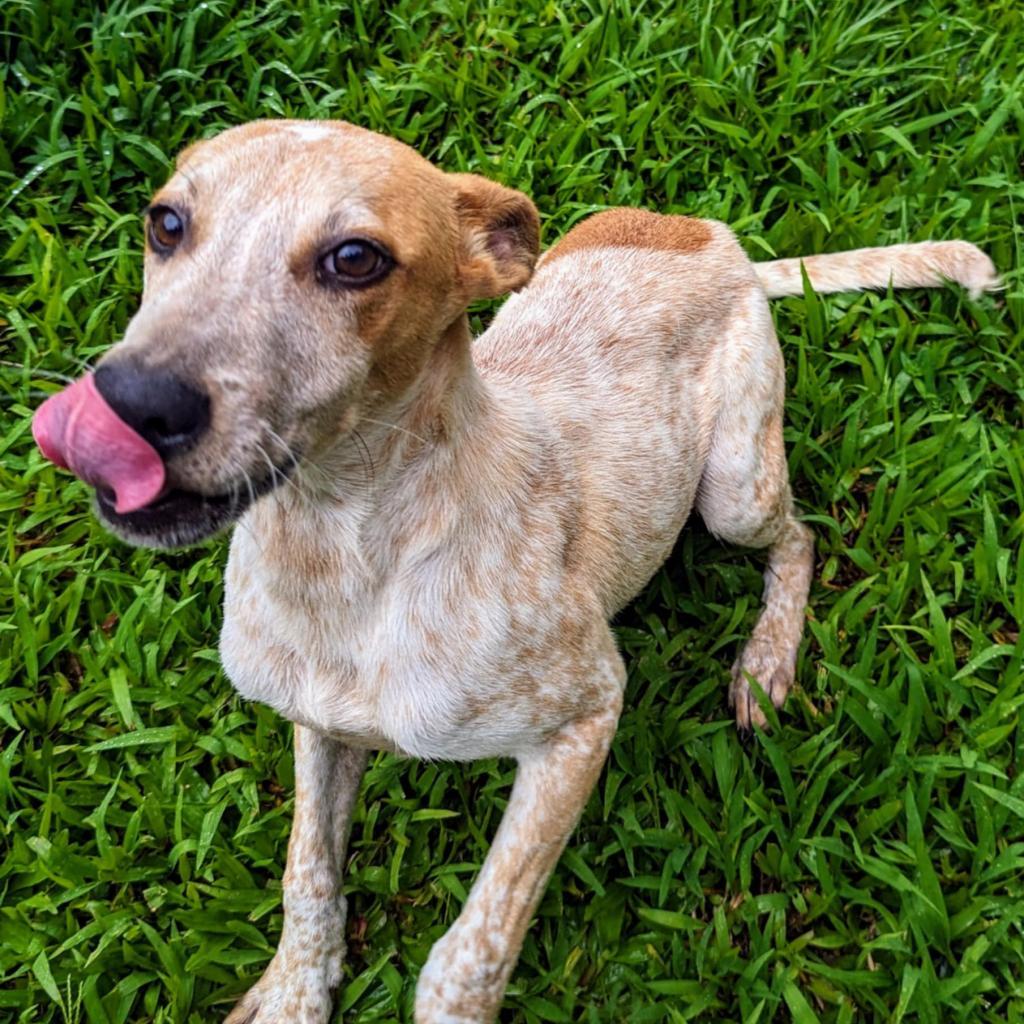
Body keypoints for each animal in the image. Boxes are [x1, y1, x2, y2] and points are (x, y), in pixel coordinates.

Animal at [34, 121, 999, 1024]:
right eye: (166, 223)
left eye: (355, 259)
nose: (127, 402)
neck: (343, 552)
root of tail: (711, 239)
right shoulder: (315, 720)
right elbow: (307, 875)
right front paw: (292, 992)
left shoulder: (586, 714)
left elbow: (471, 949)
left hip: (735, 489)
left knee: (799, 540)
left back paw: (766, 663)